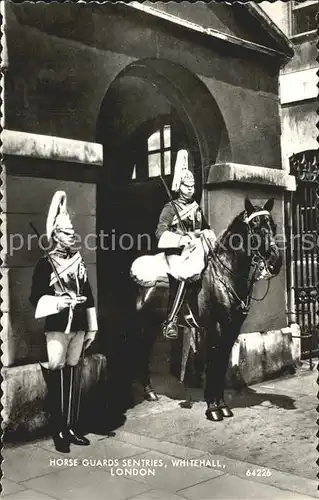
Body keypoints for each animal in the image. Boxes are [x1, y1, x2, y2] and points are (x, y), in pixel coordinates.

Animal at [129, 197, 284, 420]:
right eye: (255, 226)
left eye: (273, 226)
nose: (275, 262)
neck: (226, 274)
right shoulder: (215, 328)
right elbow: (213, 364)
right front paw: (213, 408)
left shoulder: (231, 329)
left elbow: (220, 364)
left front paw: (222, 405)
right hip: (144, 323)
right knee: (140, 351)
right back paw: (148, 392)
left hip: (152, 323)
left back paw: (149, 391)